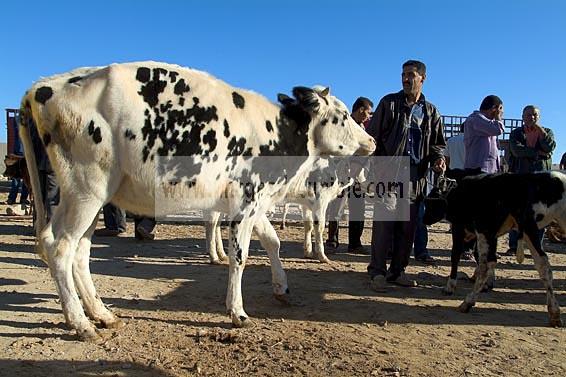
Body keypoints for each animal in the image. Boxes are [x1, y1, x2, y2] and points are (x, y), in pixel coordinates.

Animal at [20, 60, 378, 340]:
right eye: (344, 115)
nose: (373, 140)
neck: (279, 133)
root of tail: (43, 86)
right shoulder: (247, 201)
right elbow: (240, 257)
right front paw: (237, 312)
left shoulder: (255, 202)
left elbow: (272, 242)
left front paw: (282, 288)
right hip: (86, 190)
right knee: (61, 247)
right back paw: (81, 323)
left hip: (89, 196)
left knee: (78, 250)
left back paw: (102, 314)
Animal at [426, 171, 566, 326]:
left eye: (430, 203)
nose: (424, 220)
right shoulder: (488, 234)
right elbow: (484, 258)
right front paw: (487, 282)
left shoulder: (464, 228)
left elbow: (457, 255)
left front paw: (450, 286)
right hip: (534, 229)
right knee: (543, 266)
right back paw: (554, 313)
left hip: (516, 228)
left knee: (486, 264)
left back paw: (468, 302)